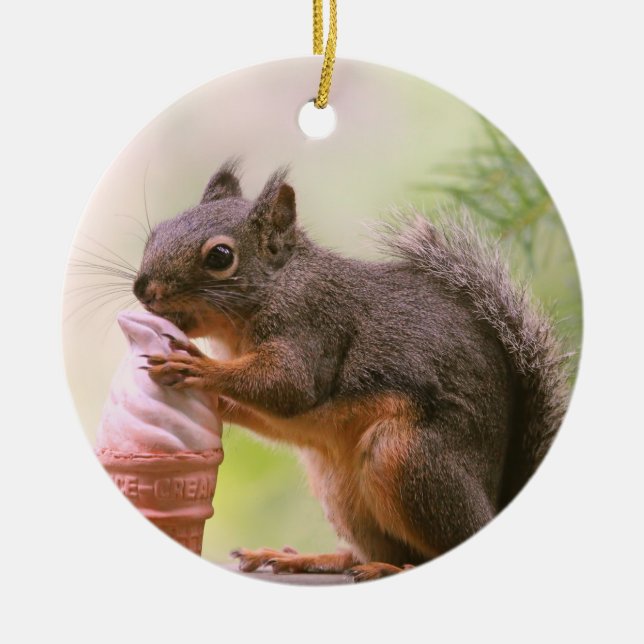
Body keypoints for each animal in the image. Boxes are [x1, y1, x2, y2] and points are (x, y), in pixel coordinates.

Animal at [134, 160, 570, 582]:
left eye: (221, 257)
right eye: (157, 232)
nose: (142, 289)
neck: (278, 285)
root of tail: (494, 504)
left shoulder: (311, 326)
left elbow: (287, 387)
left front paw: (197, 365)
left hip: (408, 458)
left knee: (434, 549)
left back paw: (387, 568)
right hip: (340, 489)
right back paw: (308, 558)